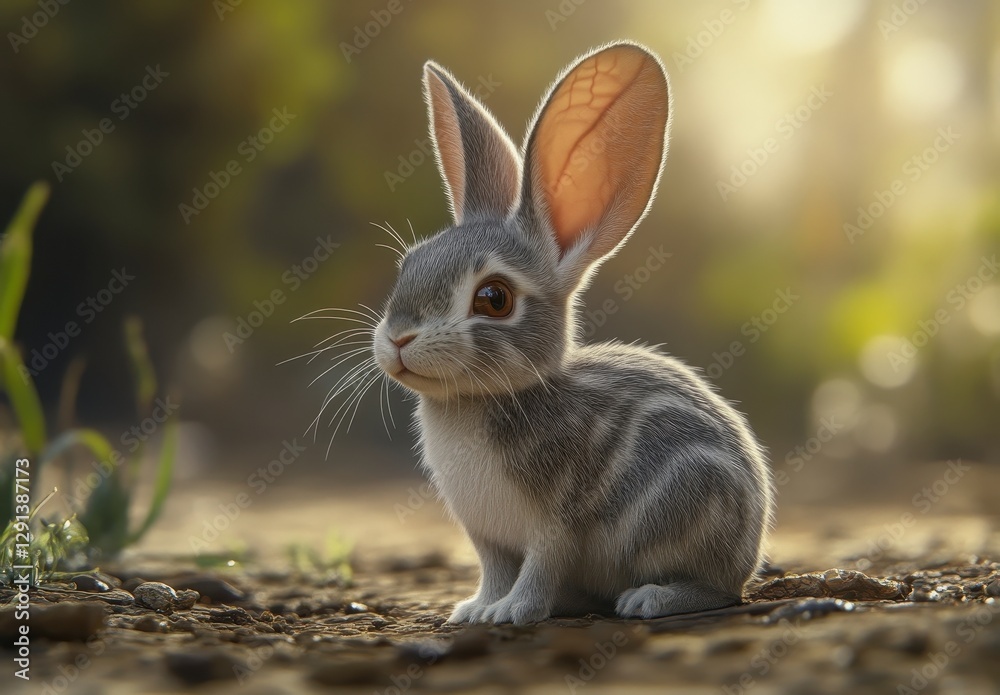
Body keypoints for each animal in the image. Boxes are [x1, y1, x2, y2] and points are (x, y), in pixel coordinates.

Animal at [371, 41, 774, 625]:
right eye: (410, 263)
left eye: (494, 298)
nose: (398, 339)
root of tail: (752, 543)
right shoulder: (487, 537)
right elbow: (495, 572)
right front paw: (473, 610)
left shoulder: (558, 521)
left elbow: (540, 567)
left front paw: (512, 613)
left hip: (688, 507)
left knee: (718, 589)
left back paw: (650, 598)